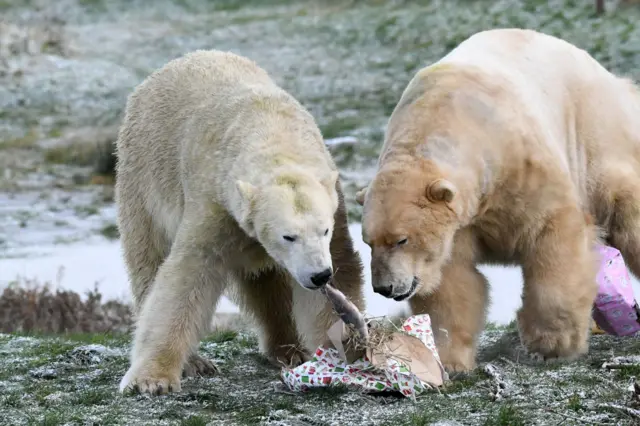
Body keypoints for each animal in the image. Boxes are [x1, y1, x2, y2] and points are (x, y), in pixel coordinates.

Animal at [115, 50, 364, 396]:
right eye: (289, 236)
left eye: (323, 230)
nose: (318, 275)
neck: (273, 133)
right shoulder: (216, 204)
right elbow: (187, 276)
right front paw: (152, 379)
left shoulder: (335, 208)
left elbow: (339, 273)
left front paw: (345, 353)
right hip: (143, 179)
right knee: (148, 259)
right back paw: (198, 362)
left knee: (265, 282)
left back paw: (288, 349)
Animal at [358, 28, 640, 372]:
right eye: (368, 242)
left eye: (401, 240)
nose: (383, 287)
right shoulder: (459, 225)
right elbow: (452, 282)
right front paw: (449, 360)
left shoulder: (522, 170)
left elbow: (552, 237)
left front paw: (550, 345)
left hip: (593, 136)